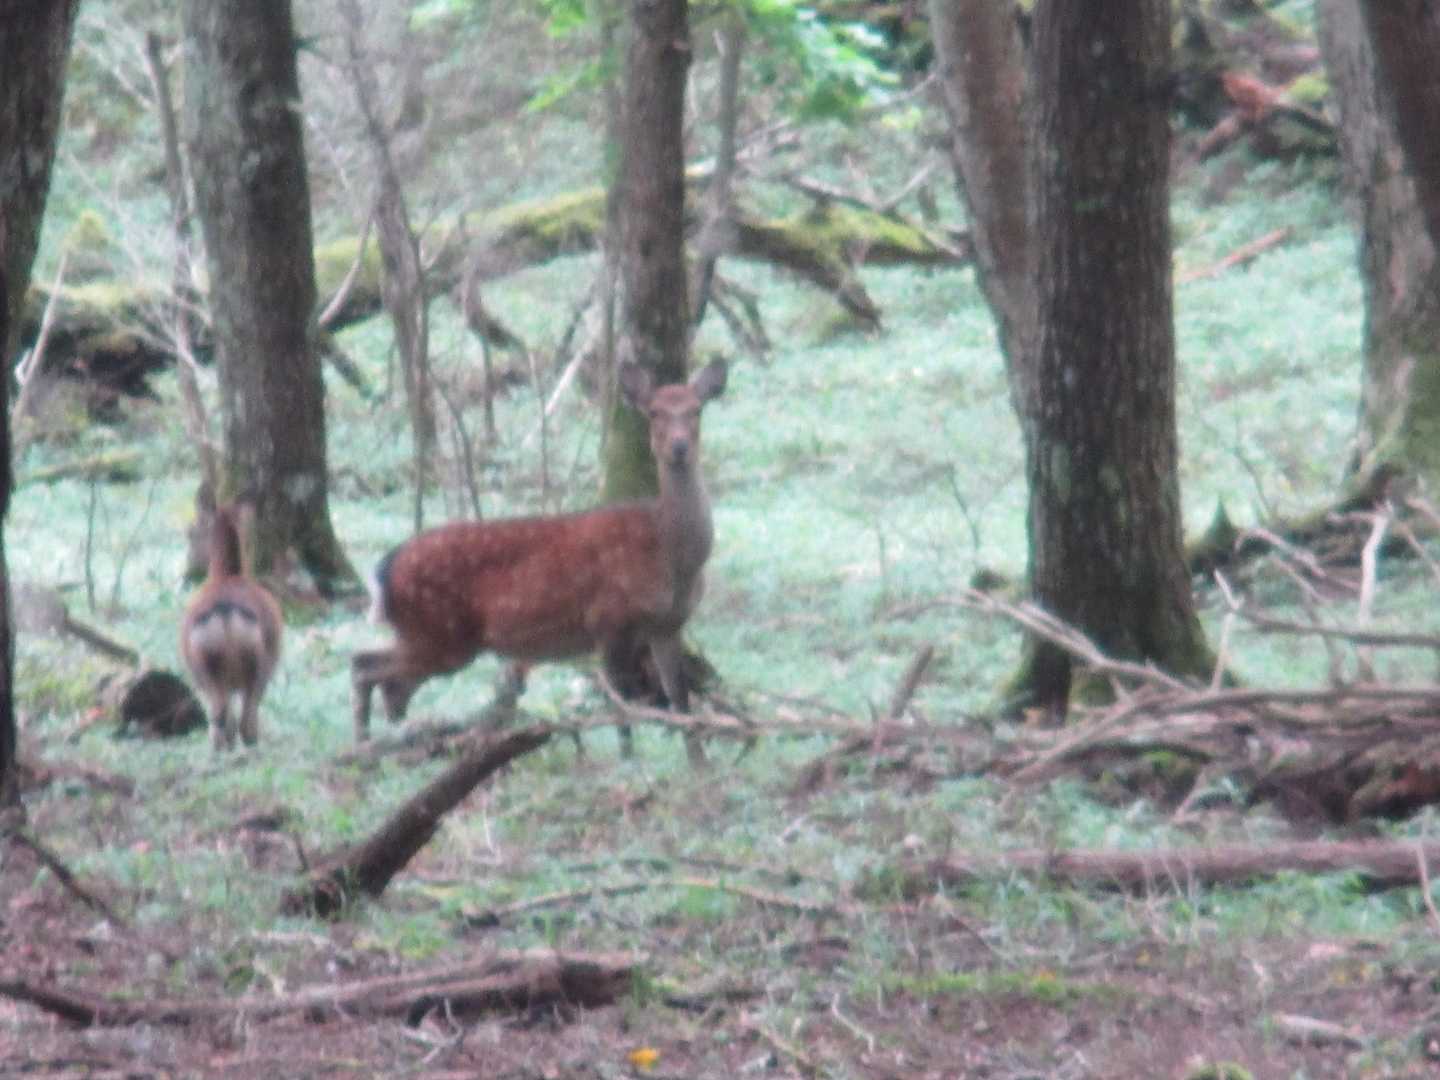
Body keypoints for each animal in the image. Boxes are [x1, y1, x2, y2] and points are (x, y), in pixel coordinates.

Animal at [180, 499, 284, 751]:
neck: (225, 573)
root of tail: (225, 613)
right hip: (257, 666)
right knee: (243, 718)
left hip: (205, 668)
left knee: (221, 716)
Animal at [351, 358, 728, 760]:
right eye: (655, 412)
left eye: (696, 410)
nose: (679, 446)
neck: (672, 556)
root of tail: (383, 569)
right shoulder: (609, 619)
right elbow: (621, 705)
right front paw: (629, 760)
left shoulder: (668, 625)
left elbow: (680, 699)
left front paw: (699, 763)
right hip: (440, 635)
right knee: (365, 666)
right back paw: (364, 748)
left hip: (429, 636)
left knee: (386, 683)